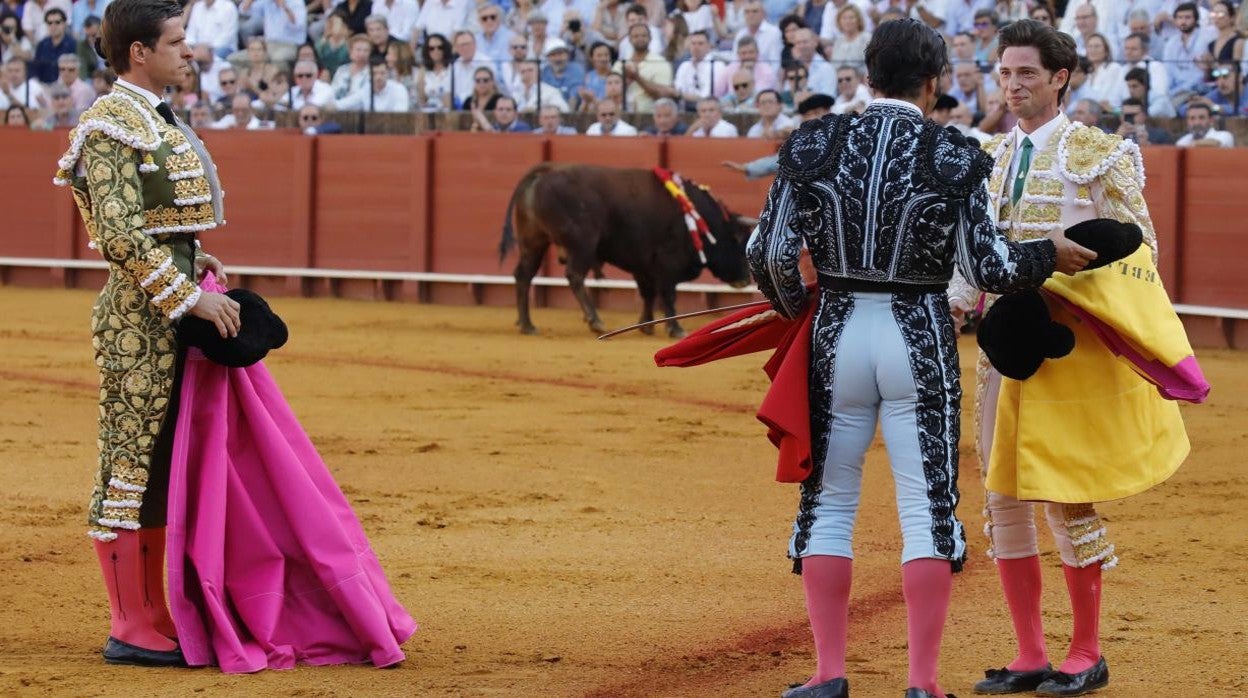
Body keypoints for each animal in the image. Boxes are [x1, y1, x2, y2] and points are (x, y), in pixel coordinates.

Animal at [499, 163, 753, 339]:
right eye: (739, 243)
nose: (746, 279)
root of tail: (546, 171)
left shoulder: (643, 265)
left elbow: (648, 293)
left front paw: (646, 325)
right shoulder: (667, 265)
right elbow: (667, 295)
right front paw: (675, 329)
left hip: (533, 242)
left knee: (524, 275)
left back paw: (527, 325)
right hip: (582, 245)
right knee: (575, 276)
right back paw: (595, 321)